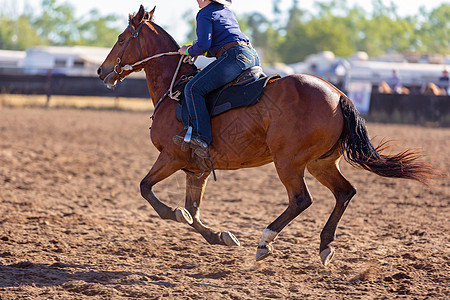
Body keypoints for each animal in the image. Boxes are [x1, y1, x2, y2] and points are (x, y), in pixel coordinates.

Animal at [96, 5, 438, 266]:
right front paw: (220, 236)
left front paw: (177, 215)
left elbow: (149, 191)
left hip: (288, 161)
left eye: (122, 38)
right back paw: (325, 245)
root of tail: (339, 93)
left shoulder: (171, 156)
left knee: (301, 199)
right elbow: (193, 211)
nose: (101, 71)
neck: (176, 90)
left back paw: (265, 240)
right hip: (321, 163)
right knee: (344, 193)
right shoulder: (197, 169)